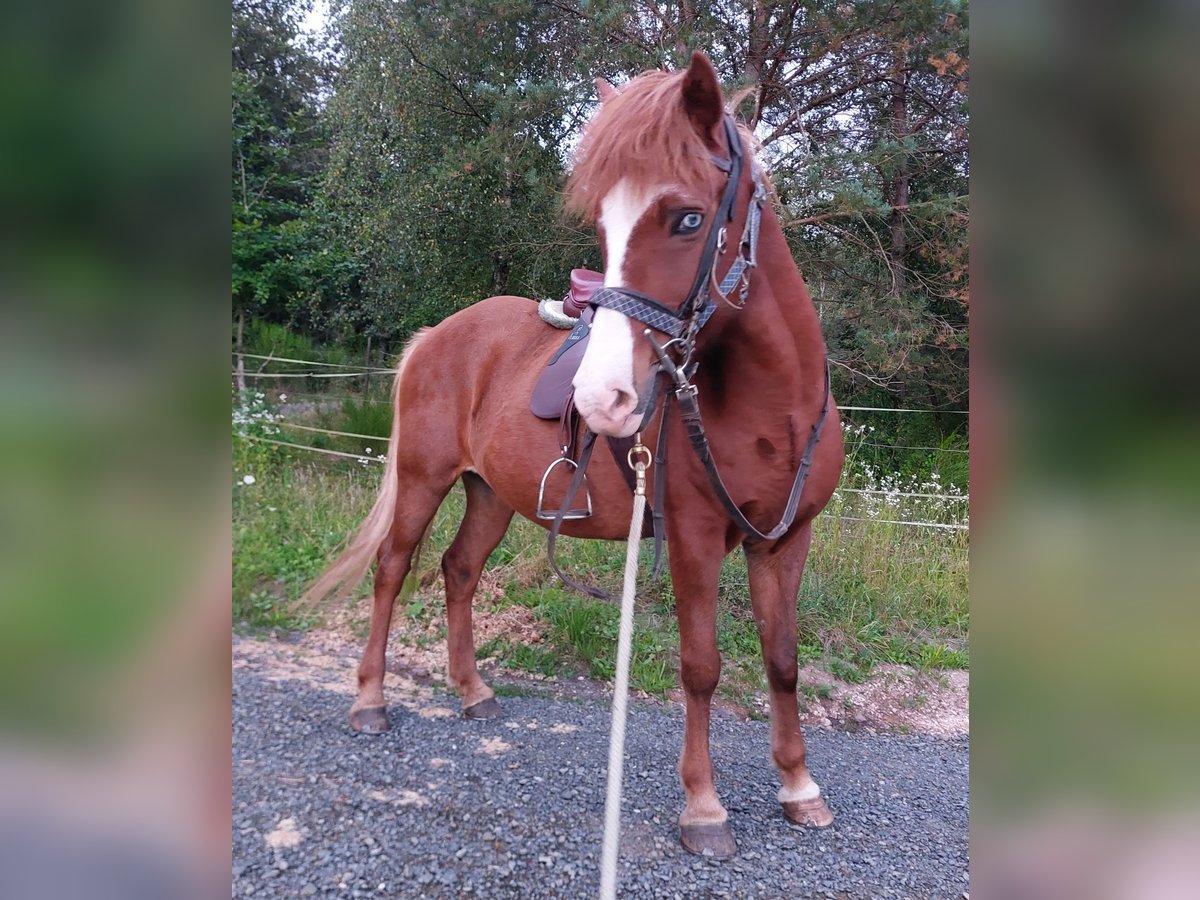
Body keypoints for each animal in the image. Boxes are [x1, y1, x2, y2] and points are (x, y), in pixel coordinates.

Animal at [300, 51, 844, 859]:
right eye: (603, 225)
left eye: (688, 217)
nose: (600, 398)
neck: (772, 408)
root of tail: (435, 336)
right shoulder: (694, 538)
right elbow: (702, 667)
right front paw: (703, 806)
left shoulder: (784, 540)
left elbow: (782, 661)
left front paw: (800, 787)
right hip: (424, 480)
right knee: (393, 570)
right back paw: (370, 700)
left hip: (489, 492)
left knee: (458, 571)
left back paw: (474, 692)